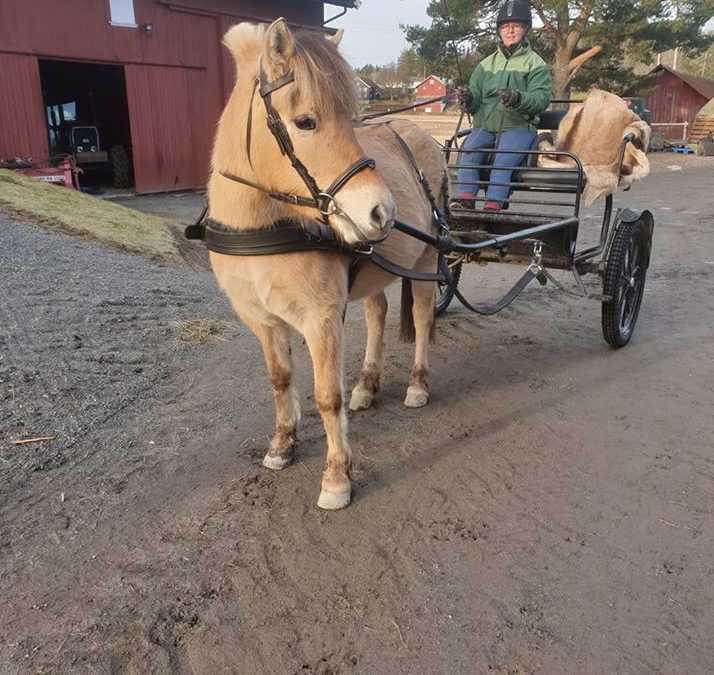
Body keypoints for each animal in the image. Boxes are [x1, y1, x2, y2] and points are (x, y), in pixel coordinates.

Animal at [209, 18, 444, 510]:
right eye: (306, 121)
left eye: (350, 116)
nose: (381, 212)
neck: (266, 227)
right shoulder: (260, 318)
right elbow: (280, 380)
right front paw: (283, 443)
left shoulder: (320, 318)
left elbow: (326, 396)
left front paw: (337, 476)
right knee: (377, 314)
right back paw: (367, 385)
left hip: (429, 255)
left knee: (420, 316)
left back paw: (417, 384)